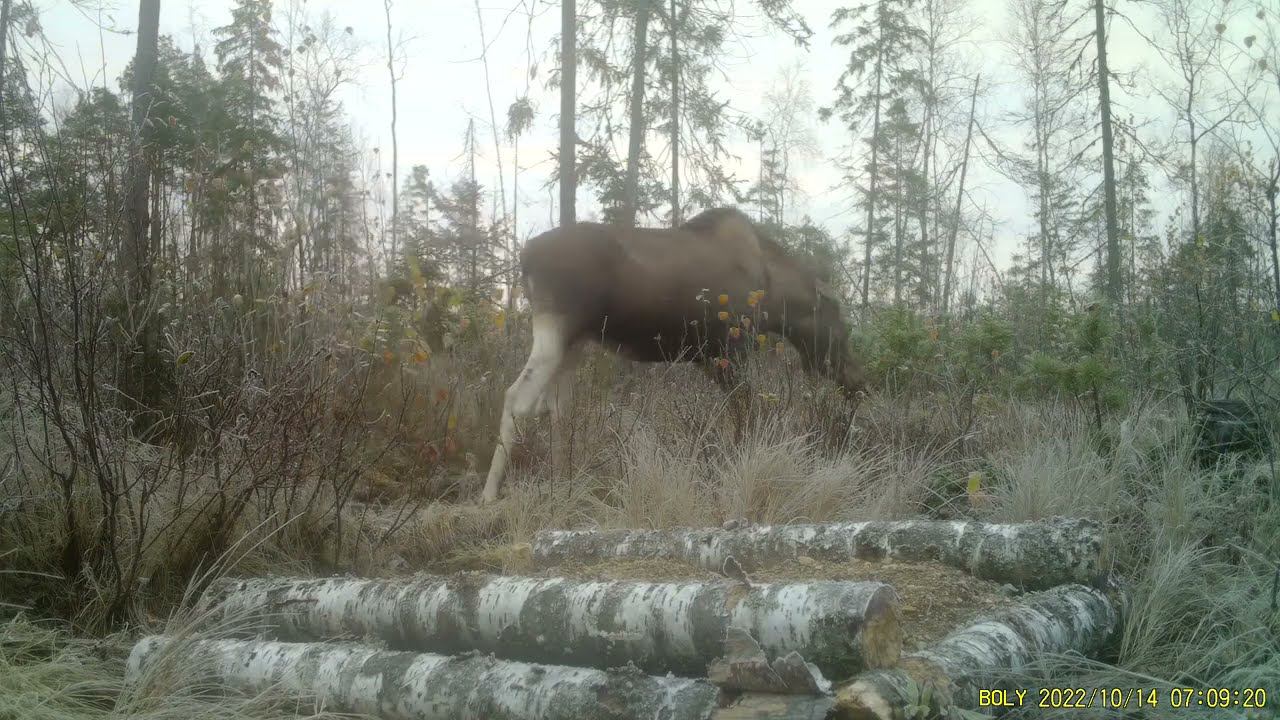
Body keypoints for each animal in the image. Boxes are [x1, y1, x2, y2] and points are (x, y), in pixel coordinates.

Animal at [481, 204, 870, 502]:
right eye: (843, 326)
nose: (859, 381)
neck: (777, 300)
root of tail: (524, 255)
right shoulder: (730, 349)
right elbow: (747, 413)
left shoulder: (711, 356)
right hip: (556, 325)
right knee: (517, 397)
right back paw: (488, 493)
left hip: (575, 341)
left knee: (556, 407)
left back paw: (564, 481)